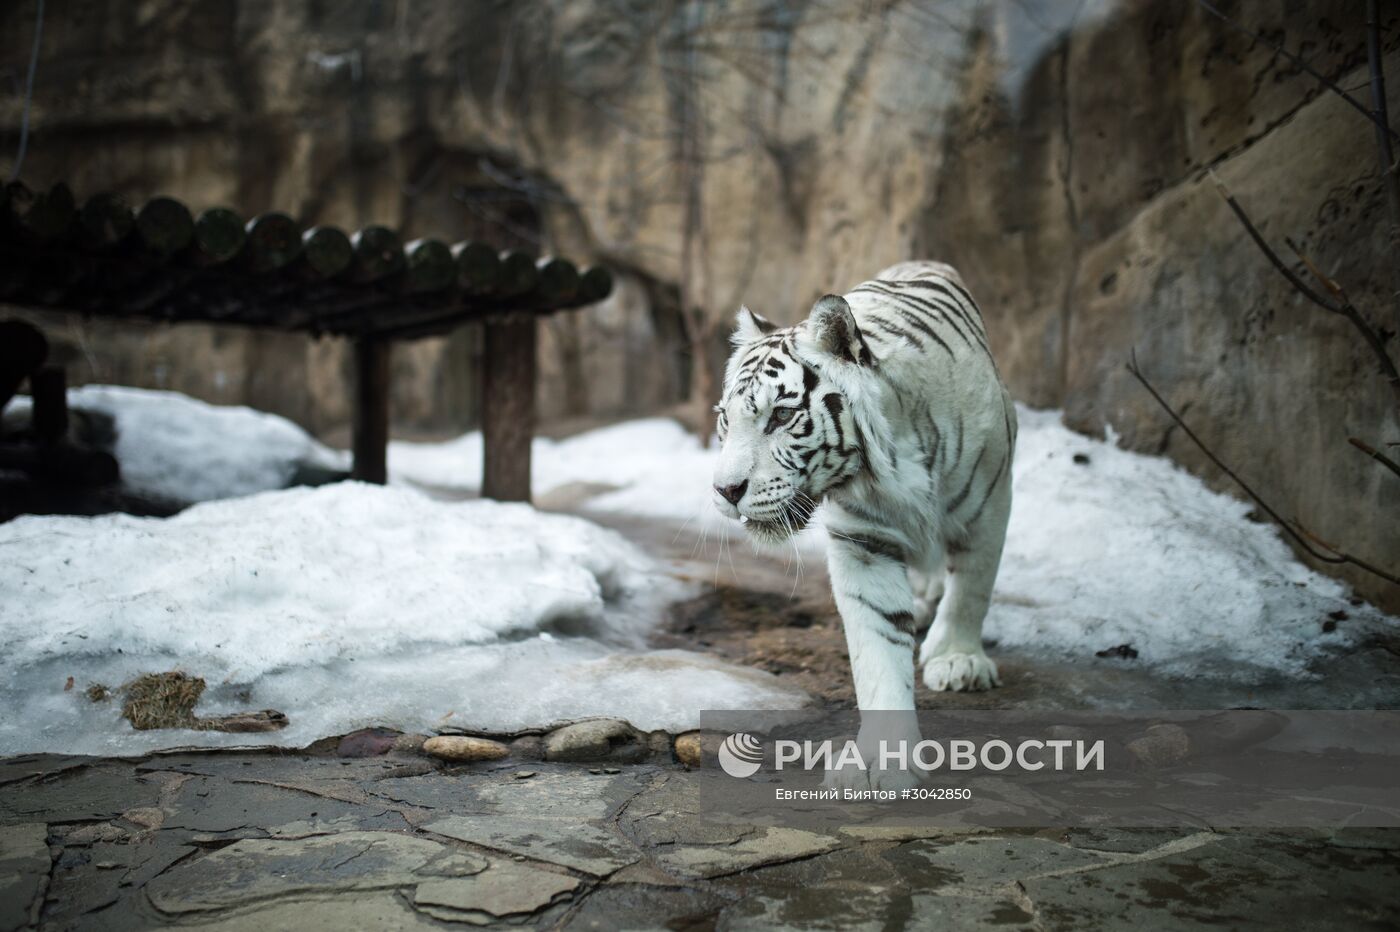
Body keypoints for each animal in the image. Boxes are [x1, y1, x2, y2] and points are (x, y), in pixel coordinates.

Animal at [711, 258, 1019, 783]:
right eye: (725, 420)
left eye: (782, 416)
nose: (726, 491)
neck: (888, 464)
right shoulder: (864, 540)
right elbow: (877, 644)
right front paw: (881, 759)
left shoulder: (988, 502)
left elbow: (972, 589)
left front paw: (957, 660)